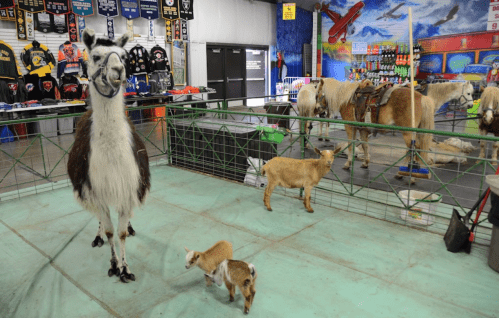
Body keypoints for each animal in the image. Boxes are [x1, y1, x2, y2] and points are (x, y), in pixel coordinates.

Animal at [67, 29, 151, 284]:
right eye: (95, 56)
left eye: (123, 56)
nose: (118, 70)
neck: (112, 157)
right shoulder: (97, 189)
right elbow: (110, 230)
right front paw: (114, 264)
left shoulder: (127, 187)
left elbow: (121, 233)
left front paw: (126, 268)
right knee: (98, 218)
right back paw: (97, 238)